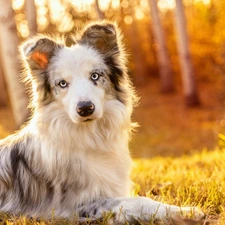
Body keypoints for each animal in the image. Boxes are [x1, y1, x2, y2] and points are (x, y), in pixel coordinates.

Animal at [0, 21, 204, 223]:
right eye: (62, 83)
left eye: (95, 76)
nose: (85, 108)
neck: (91, 135)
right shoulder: (73, 207)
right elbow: (139, 201)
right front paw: (186, 211)